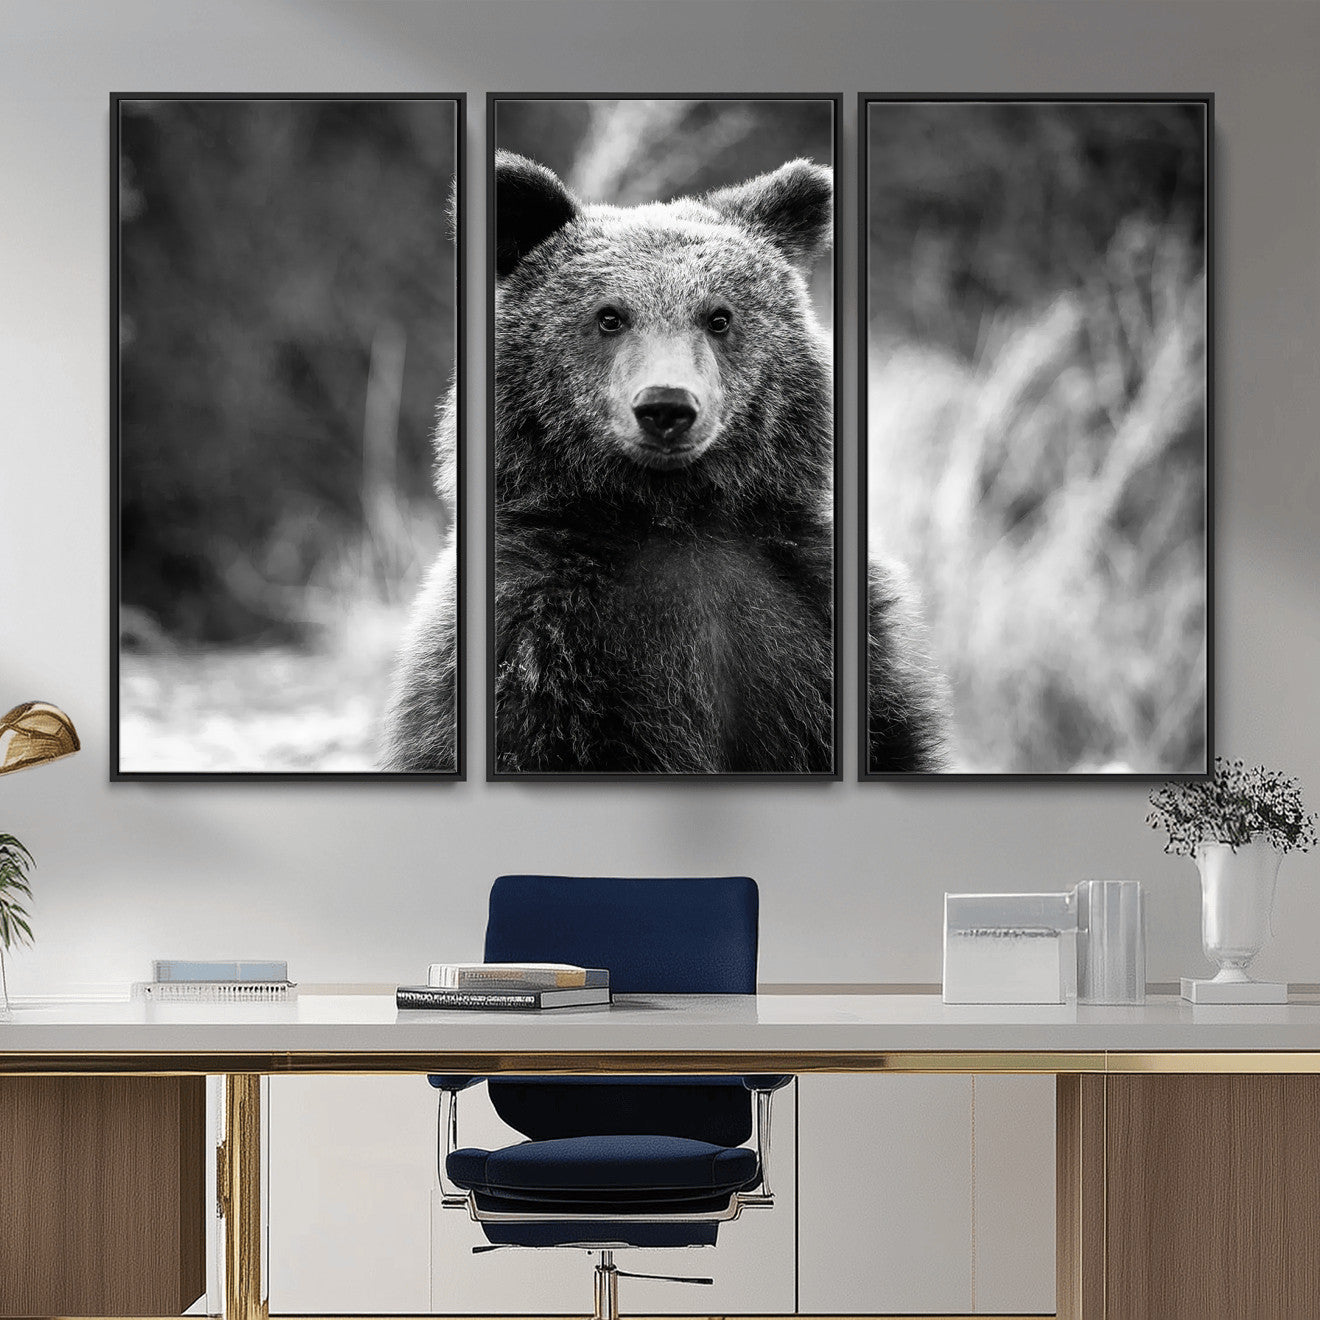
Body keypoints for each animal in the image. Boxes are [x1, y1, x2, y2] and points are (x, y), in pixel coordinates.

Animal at [381, 150, 946, 775]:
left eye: (719, 316)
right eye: (609, 316)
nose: (666, 406)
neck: (671, 514)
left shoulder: (815, 615)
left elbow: (888, 735)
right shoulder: (537, 638)